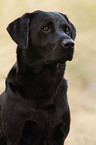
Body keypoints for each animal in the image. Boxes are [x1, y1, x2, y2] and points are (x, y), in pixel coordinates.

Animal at [0, 10, 76, 145]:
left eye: (67, 29)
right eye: (45, 28)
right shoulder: (14, 135)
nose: (70, 44)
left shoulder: (58, 134)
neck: (44, 82)